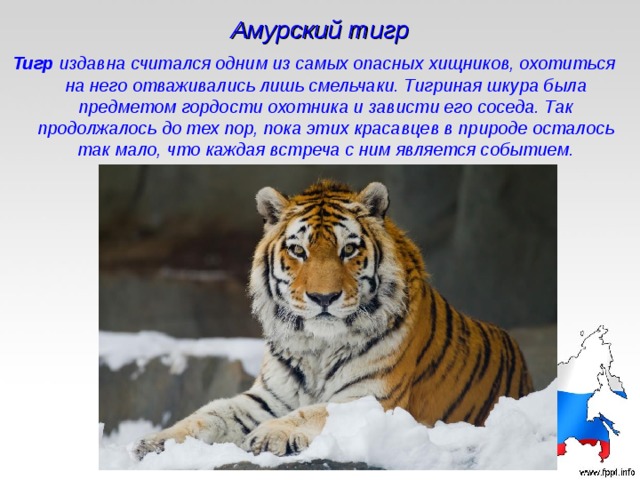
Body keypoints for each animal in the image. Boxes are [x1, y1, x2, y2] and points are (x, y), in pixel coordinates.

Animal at [133, 179, 533, 460]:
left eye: (349, 249)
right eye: (298, 250)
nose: (323, 298)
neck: (318, 347)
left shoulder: (372, 399)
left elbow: (311, 411)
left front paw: (267, 436)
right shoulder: (266, 398)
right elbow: (209, 414)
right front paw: (154, 442)